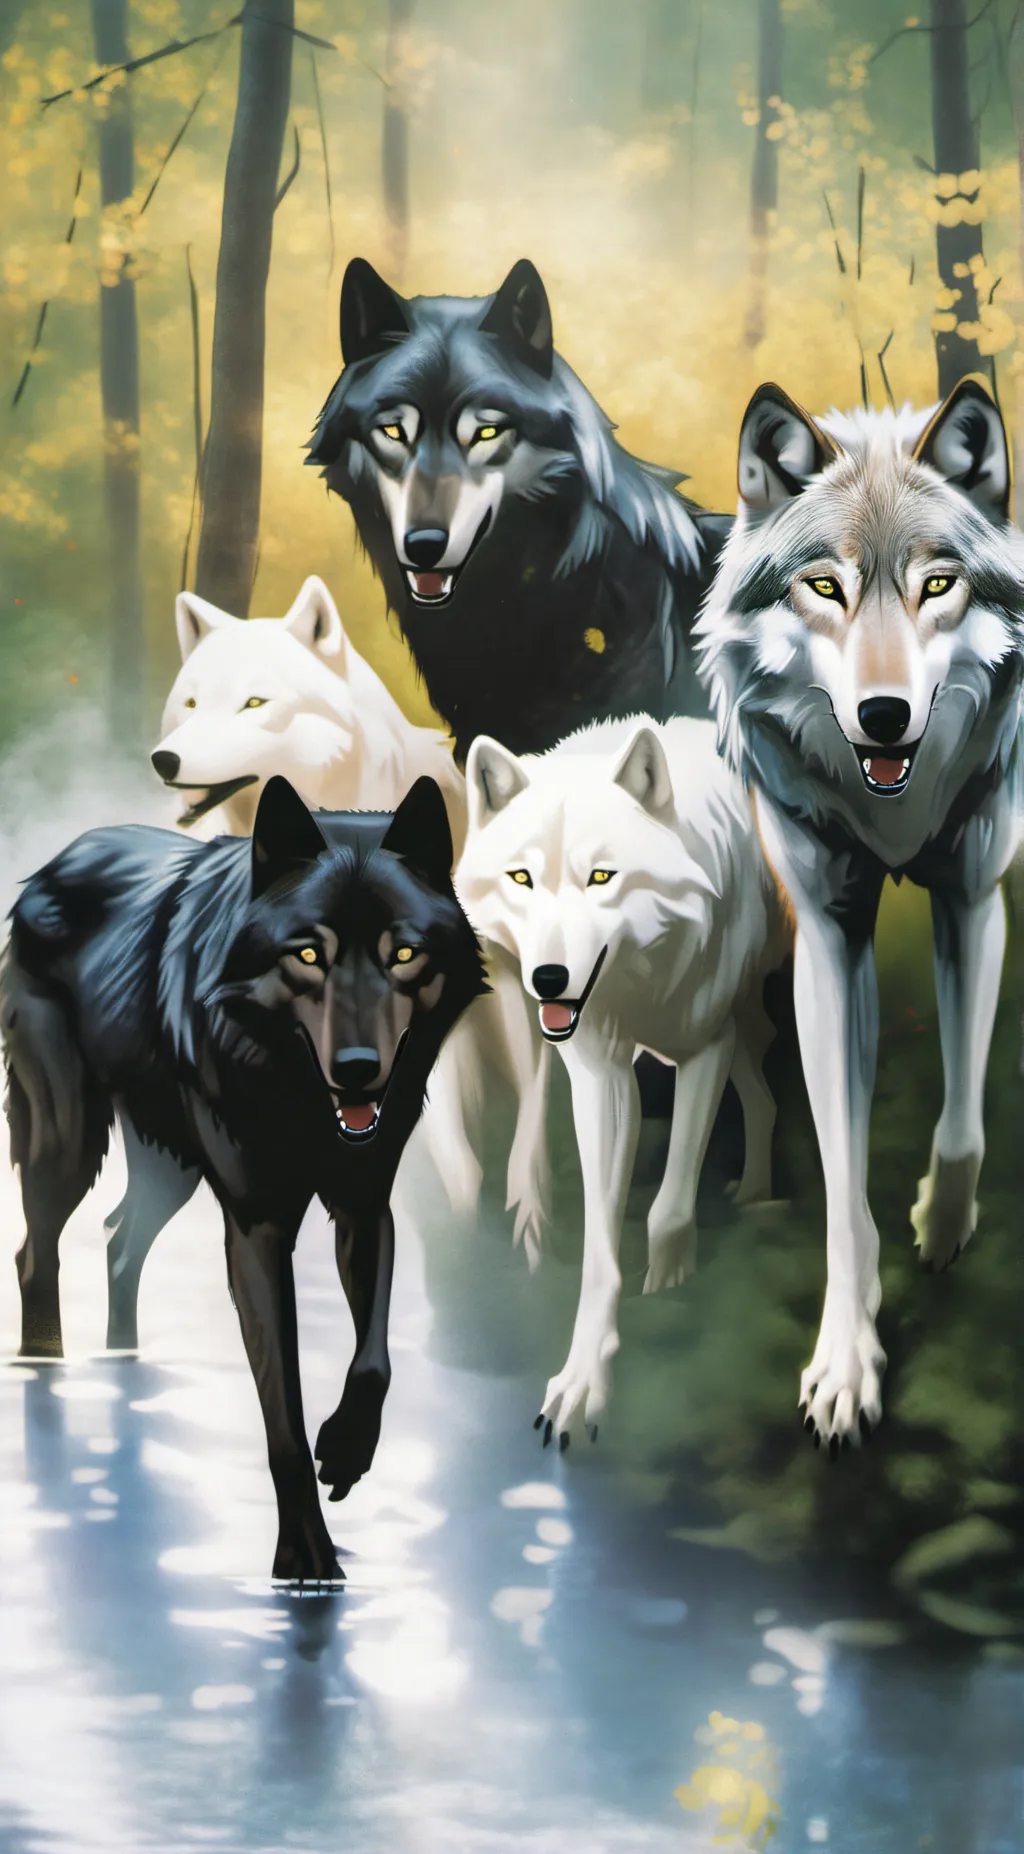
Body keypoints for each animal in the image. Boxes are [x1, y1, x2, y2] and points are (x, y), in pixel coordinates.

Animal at [0, 776, 485, 1580]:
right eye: (309, 953)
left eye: (404, 953)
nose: (359, 1070)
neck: (296, 1094)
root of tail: (56, 863)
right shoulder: (256, 1226)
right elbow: (281, 1407)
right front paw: (306, 1558)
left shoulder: (364, 1206)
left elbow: (374, 1361)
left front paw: (345, 1453)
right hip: (64, 1145)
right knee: (37, 1252)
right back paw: (46, 1371)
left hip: (169, 1170)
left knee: (119, 1241)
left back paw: (123, 1355)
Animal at [453, 716, 791, 1443]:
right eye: (522, 877)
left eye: (601, 877)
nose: (549, 978)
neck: (638, 980)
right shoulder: (600, 1075)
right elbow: (599, 1253)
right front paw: (584, 1382)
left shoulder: (703, 1049)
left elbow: (668, 1210)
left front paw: (670, 1284)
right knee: (762, 1097)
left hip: (744, 1018)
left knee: (768, 1092)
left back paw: (756, 1194)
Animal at [696, 377, 1024, 1454]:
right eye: (826, 588)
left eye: (937, 585)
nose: (884, 716)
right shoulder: (831, 940)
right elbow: (841, 1190)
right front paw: (847, 1357)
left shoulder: (971, 897)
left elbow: (961, 1121)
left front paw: (942, 1224)